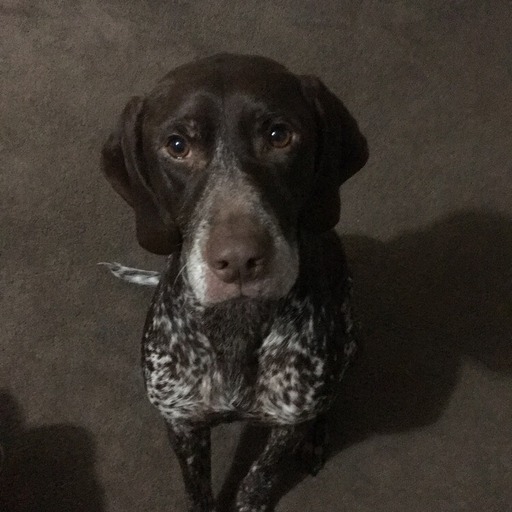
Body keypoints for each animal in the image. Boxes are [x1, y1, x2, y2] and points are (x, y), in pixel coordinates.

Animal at [101, 53, 368, 512]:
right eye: (177, 145)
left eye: (279, 135)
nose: (240, 260)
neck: (237, 324)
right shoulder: (182, 423)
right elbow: (198, 488)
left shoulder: (286, 423)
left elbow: (257, 479)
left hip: (349, 343)